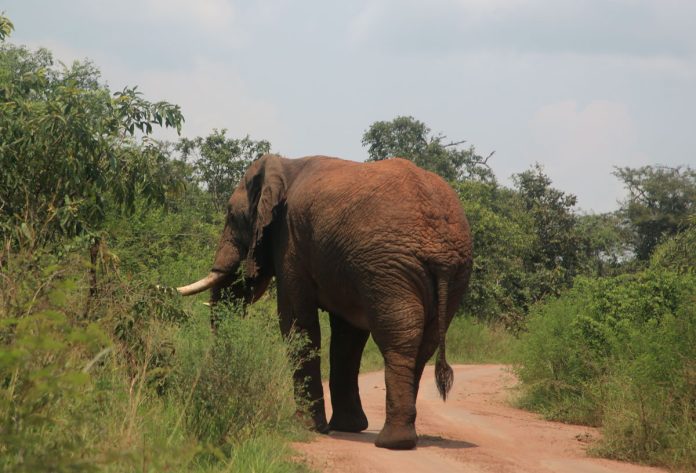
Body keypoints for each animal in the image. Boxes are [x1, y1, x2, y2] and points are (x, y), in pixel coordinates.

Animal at [177, 153, 476, 448]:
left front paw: (305, 427)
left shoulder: (291, 242)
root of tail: (441, 248)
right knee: (423, 343)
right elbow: (347, 337)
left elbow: (296, 321)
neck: (284, 166)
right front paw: (347, 428)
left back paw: (393, 442)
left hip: (391, 267)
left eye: (231, 215)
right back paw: (402, 437)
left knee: (397, 337)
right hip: (452, 274)